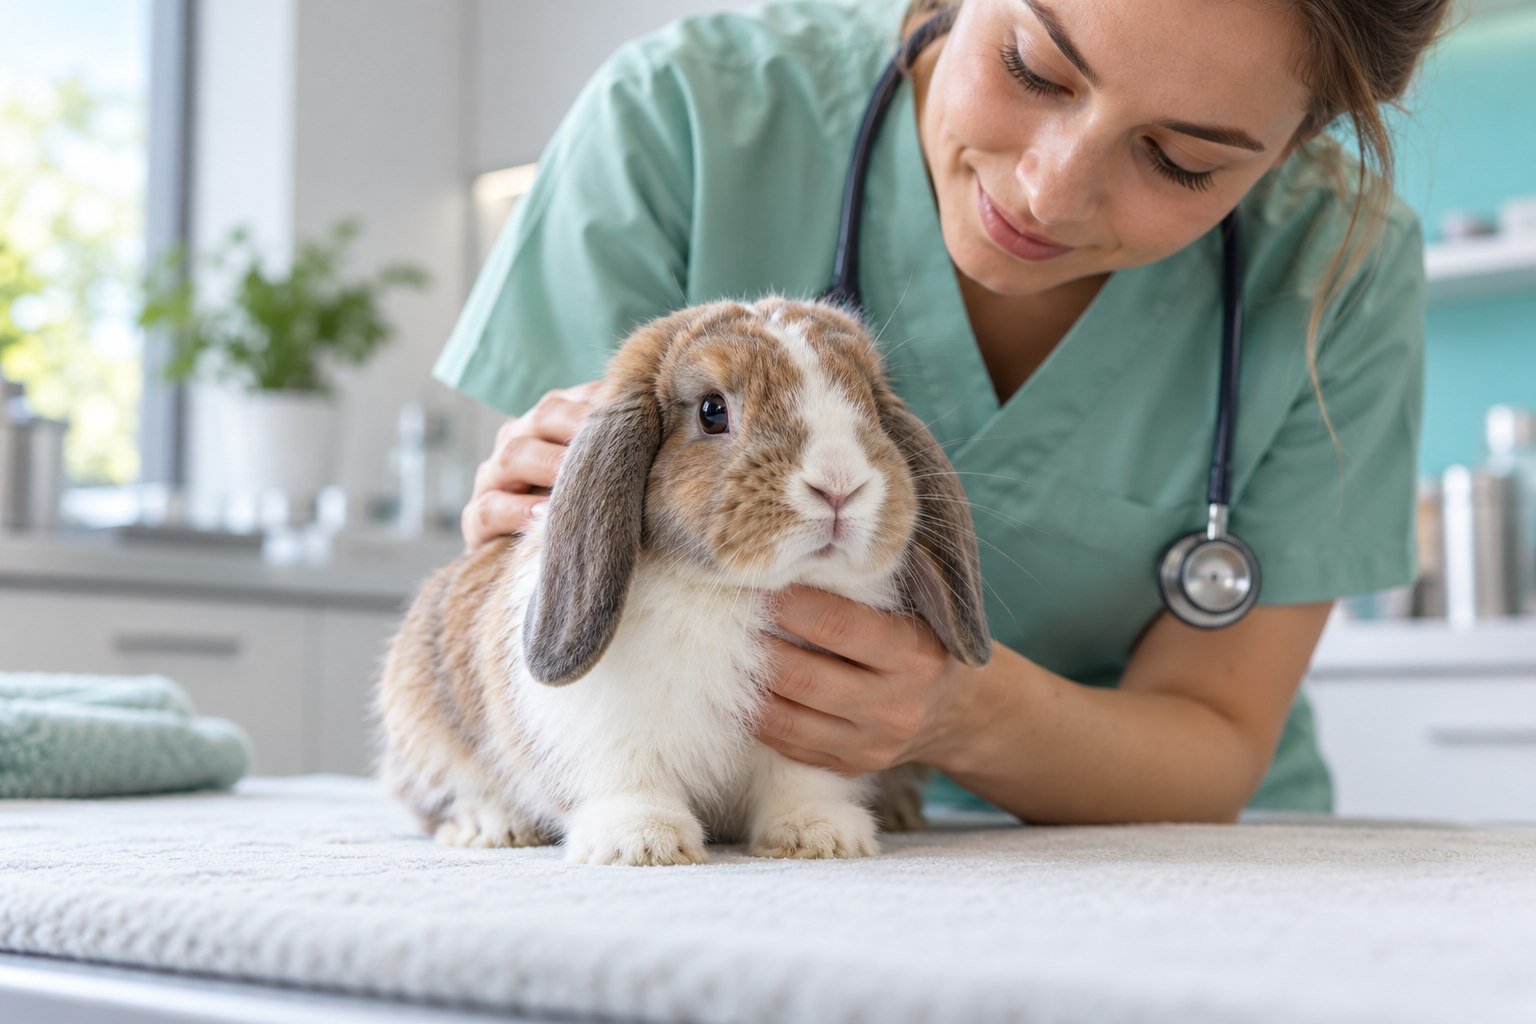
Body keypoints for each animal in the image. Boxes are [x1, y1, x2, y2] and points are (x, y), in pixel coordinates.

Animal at [374, 295, 991, 866]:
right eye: (712, 411)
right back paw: (494, 826)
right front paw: (644, 843)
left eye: (869, 403)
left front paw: (819, 836)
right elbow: (629, 779)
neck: (734, 592)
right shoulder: (608, 729)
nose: (839, 486)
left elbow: (803, 785)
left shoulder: (817, 737)